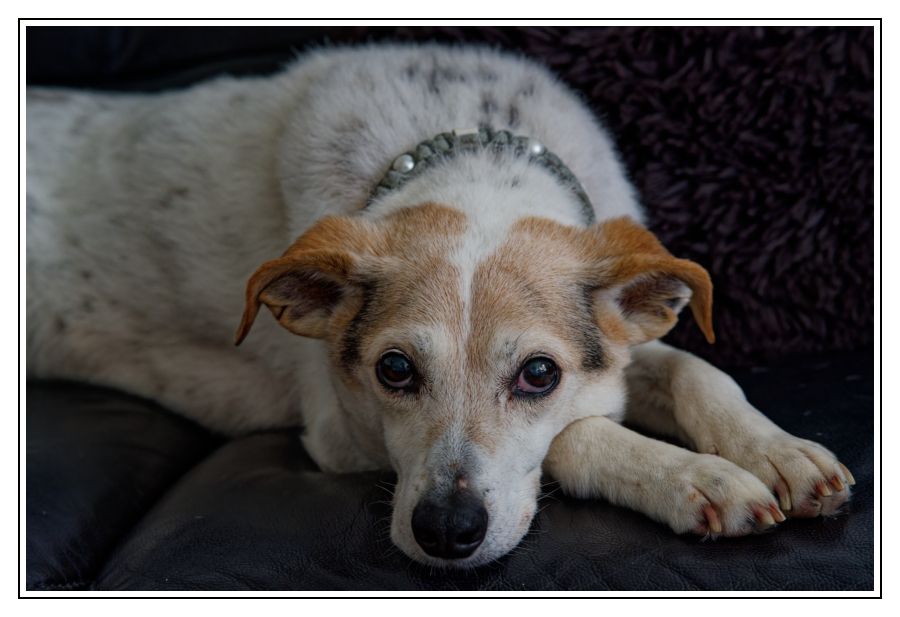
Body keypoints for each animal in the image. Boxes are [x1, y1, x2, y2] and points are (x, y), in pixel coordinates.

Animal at [28, 44, 856, 568]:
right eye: (393, 369)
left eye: (538, 374)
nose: (446, 531)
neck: (467, 144)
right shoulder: (338, 428)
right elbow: (575, 435)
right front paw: (697, 478)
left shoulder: (620, 347)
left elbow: (696, 372)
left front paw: (774, 450)